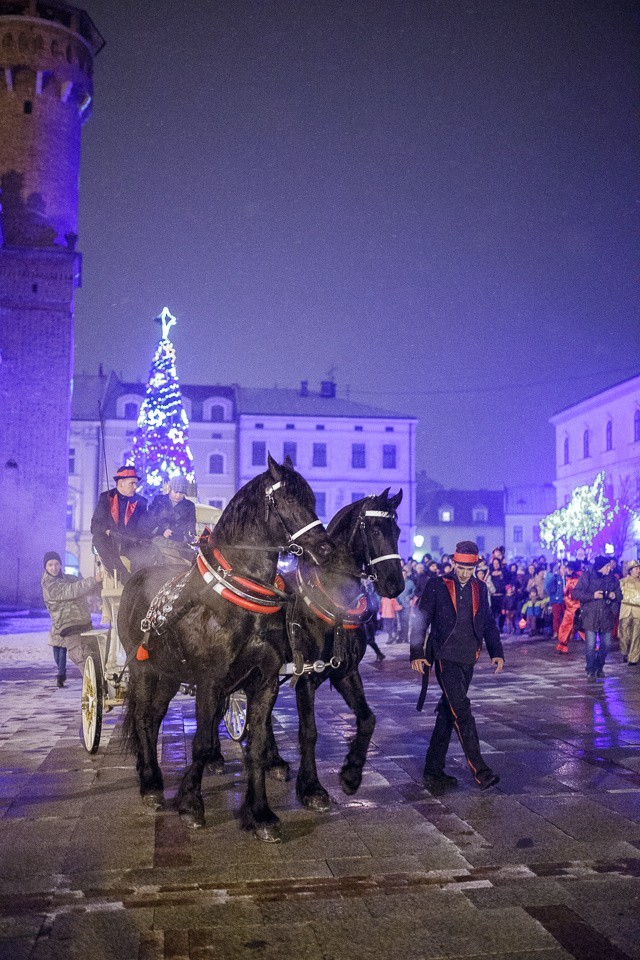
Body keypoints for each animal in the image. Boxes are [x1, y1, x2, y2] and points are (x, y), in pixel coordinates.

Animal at [117, 458, 332, 840]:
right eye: (289, 501)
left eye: (312, 499)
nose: (325, 549)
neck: (241, 598)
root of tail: (138, 577)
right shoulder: (210, 682)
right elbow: (202, 743)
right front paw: (190, 803)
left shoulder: (265, 682)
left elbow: (256, 747)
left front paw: (260, 814)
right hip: (144, 668)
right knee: (142, 719)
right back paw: (151, 783)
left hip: (169, 673)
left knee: (154, 718)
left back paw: (150, 773)